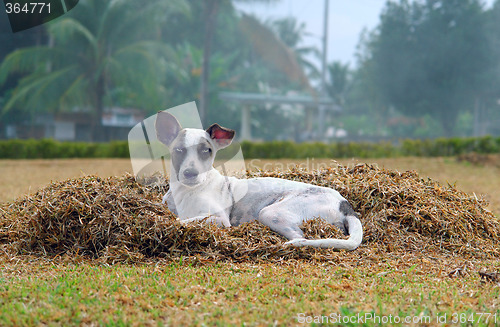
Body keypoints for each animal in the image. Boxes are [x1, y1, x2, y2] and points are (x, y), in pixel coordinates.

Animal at [154, 112, 362, 251]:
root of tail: (343, 203)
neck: (188, 191)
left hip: (271, 212)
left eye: (207, 151)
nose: (190, 173)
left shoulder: (219, 219)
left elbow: (183, 220)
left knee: (301, 238)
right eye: (178, 150)